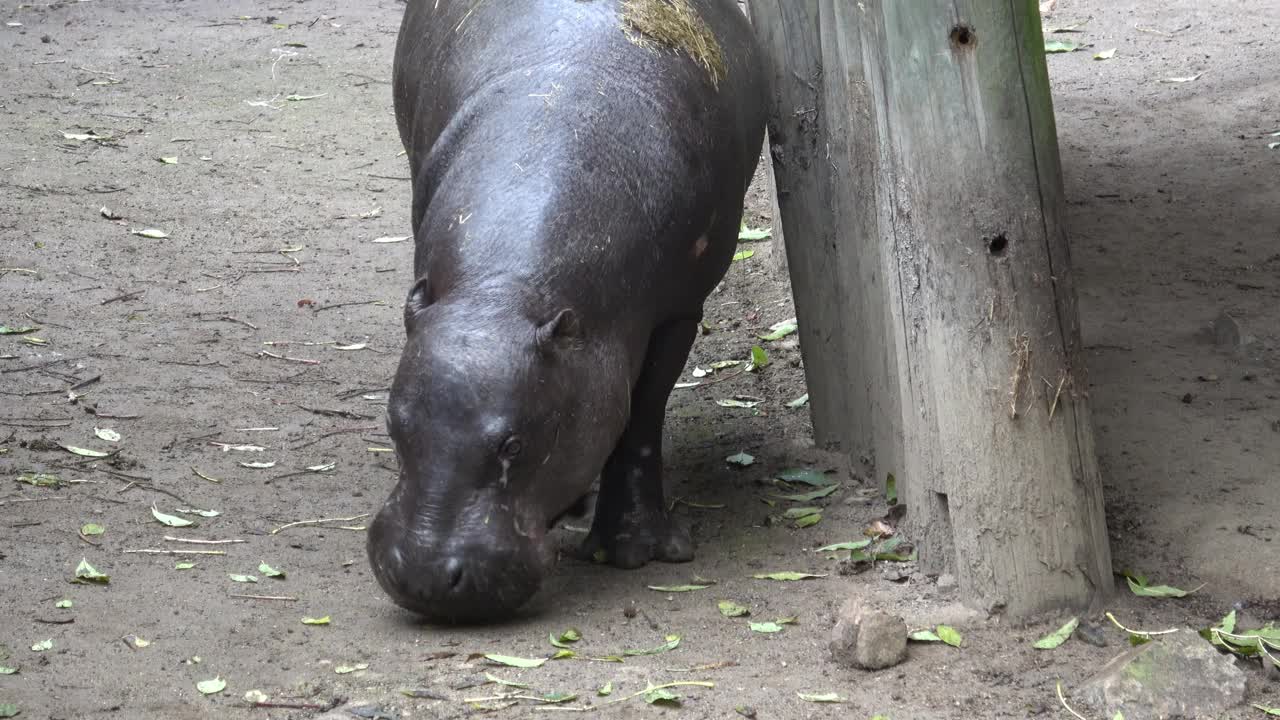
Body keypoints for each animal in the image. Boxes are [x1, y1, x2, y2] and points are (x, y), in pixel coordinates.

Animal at [368, 0, 768, 620]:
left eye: (513, 445)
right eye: (392, 425)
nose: (423, 577)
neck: (502, 293)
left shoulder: (678, 312)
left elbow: (640, 417)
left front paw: (635, 551)